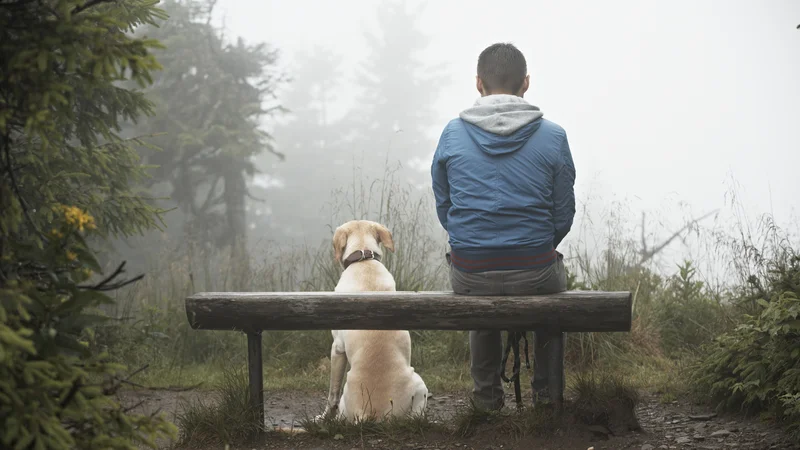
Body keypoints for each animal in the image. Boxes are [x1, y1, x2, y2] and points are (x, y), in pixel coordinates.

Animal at [318, 220, 428, 424]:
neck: (364, 261)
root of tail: (370, 414)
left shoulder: (337, 348)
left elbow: (332, 393)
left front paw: (323, 417)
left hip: (418, 382)